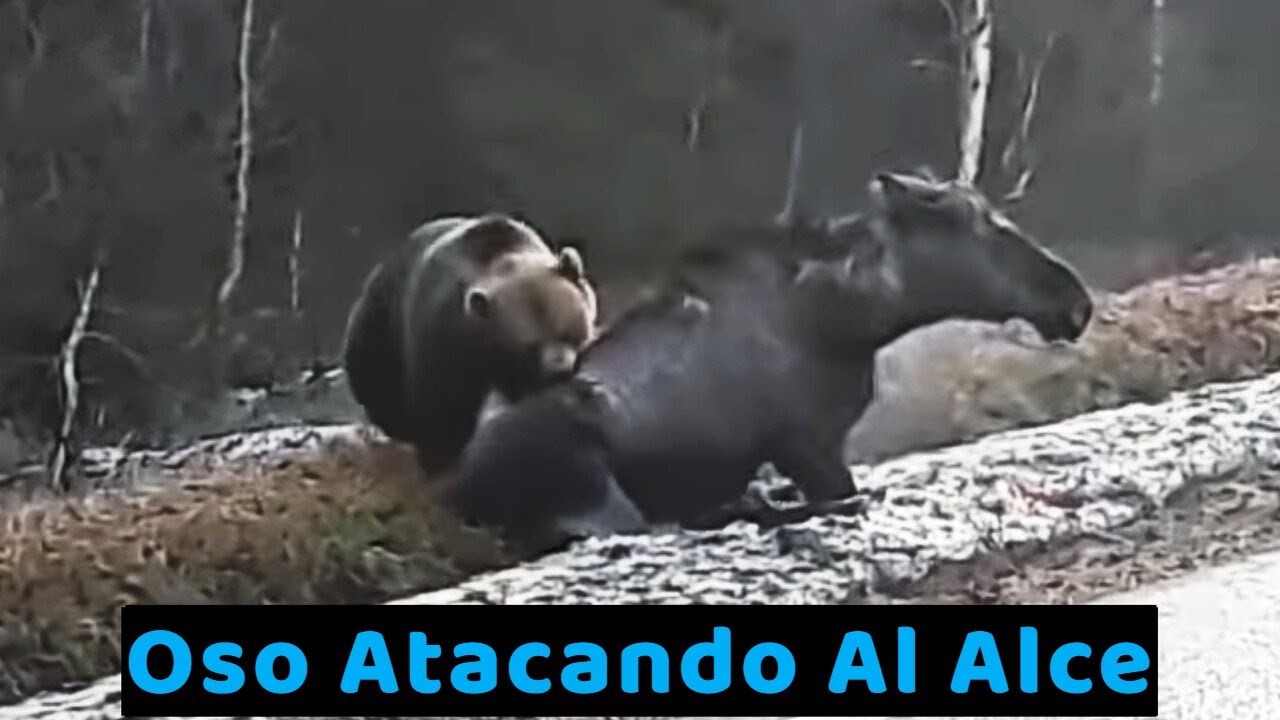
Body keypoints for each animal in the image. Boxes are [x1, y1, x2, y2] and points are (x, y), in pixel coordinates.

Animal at [342, 212, 598, 473]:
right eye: (529, 345)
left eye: (568, 330)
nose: (560, 370)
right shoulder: (443, 334)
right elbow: (441, 405)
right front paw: (440, 455)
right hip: (377, 328)